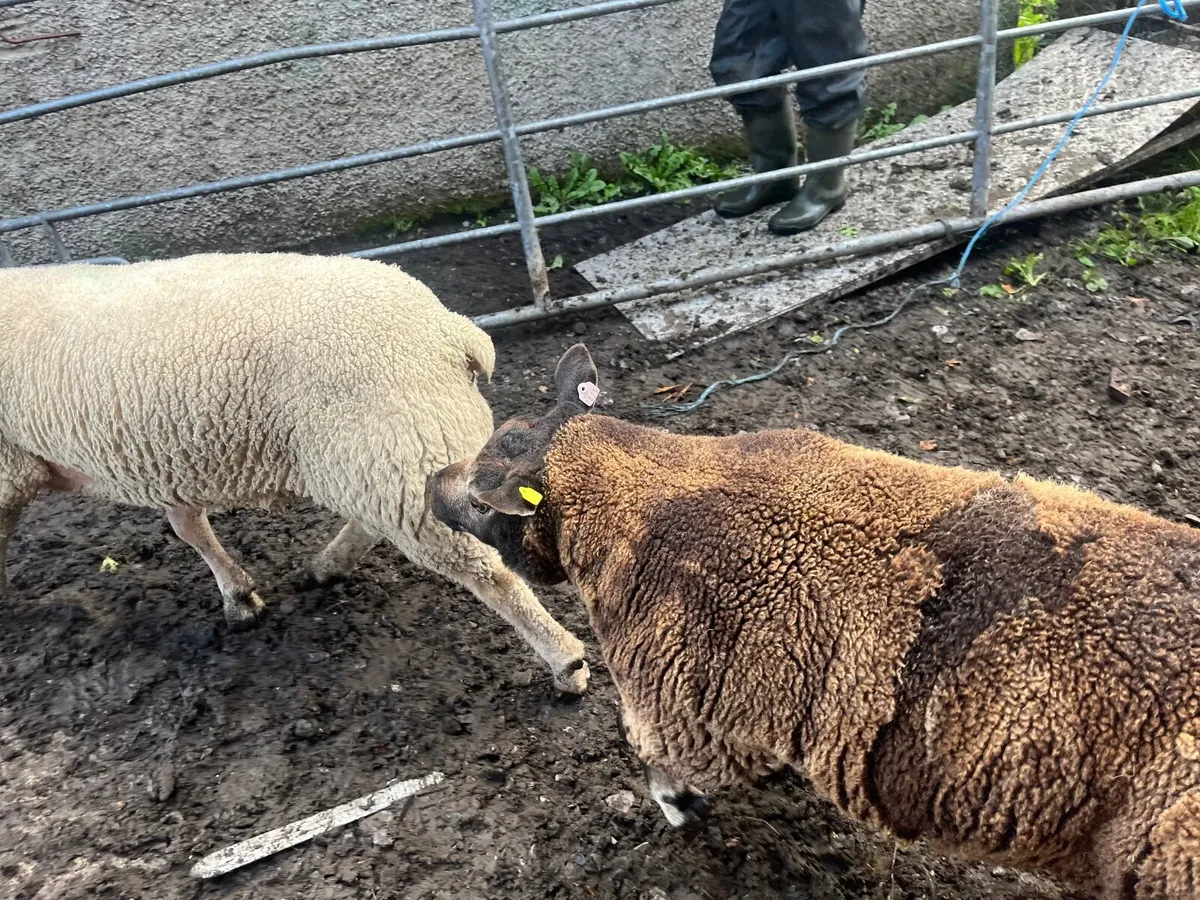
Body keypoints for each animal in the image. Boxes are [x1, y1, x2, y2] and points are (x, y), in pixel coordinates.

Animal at [0, 252, 588, 694]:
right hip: (386, 455)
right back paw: (328, 565)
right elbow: (188, 527)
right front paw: (238, 595)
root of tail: (449, 331)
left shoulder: (9, 474)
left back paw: (567, 661)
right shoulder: (163, 462)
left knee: (489, 569)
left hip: (397, 445)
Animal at [429, 342, 1200, 899]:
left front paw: (681, 807)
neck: (642, 490)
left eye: (483, 498)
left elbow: (654, 760)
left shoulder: (680, 701)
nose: (432, 486)